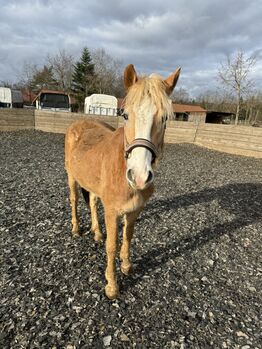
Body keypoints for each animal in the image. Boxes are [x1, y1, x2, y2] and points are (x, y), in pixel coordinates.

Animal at [64, 64, 181, 298]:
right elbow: (112, 245)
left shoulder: (135, 210)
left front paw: (126, 265)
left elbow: (128, 237)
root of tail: (79, 123)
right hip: (72, 177)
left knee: (92, 202)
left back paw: (96, 232)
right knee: (74, 200)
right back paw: (76, 229)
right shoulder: (112, 211)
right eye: (125, 115)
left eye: (165, 118)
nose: (139, 175)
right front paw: (112, 285)